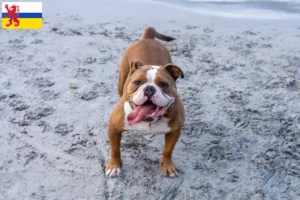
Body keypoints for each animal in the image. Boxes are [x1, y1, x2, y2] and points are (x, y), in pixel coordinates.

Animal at [105, 27, 185, 177]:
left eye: (164, 84)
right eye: (137, 82)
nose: (149, 88)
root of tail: (148, 37)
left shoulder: (175, 131)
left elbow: (168, 150)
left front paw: (168, 166)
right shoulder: (114, 128)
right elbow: (115, 149)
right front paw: (114, 166)